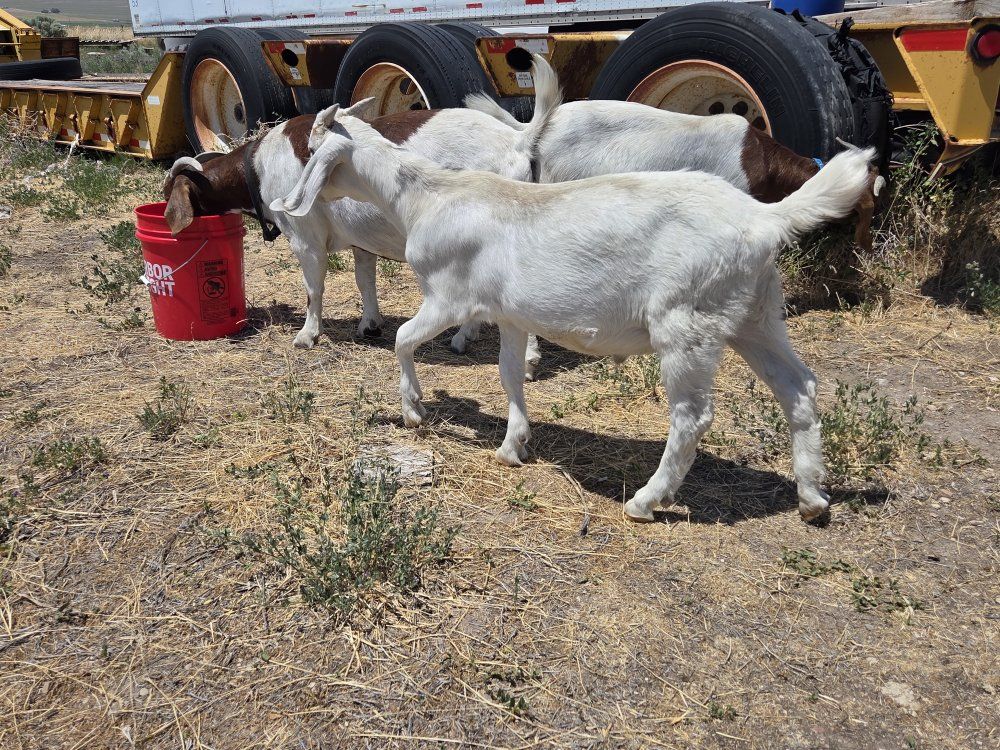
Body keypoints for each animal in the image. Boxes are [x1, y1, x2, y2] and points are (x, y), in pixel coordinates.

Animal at [162, 62, 560, 373]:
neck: (258, 167)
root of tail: (519, 142)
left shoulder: (306, 240)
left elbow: (313, 287)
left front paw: (307, 335)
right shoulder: (361, 240)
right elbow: (364, 279)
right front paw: (370, 324)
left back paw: (526, 359)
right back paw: (465, 337)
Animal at [271, 84, 874, 523]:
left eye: (314, 152)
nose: (287, 203)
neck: (424, 196)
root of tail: (764, 218)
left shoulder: (449, 296)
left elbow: (401, 339)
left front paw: (413, 411)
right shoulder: (509, 314)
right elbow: (508, 373)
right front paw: (513, 444)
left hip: (688, 321)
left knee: (692, 416)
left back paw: (646, 501)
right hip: (756, 313)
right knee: (799, 387)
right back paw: (812, 499)